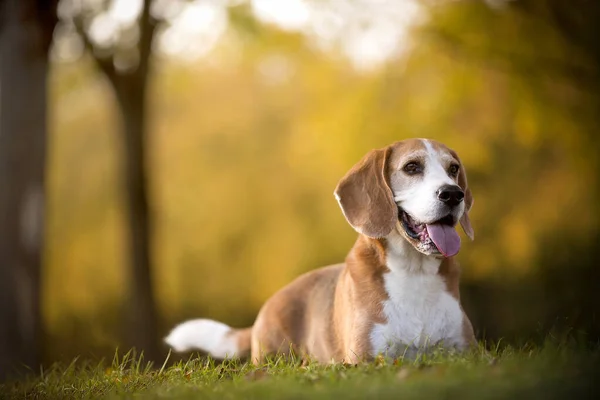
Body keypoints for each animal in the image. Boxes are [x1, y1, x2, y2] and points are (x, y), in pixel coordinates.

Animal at [166, 139, 476, 364]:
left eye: (453, 169)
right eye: (412, 167)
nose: (452, 194)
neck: (414, 273)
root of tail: (264, 310)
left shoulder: (468, 354)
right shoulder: (367, 360)